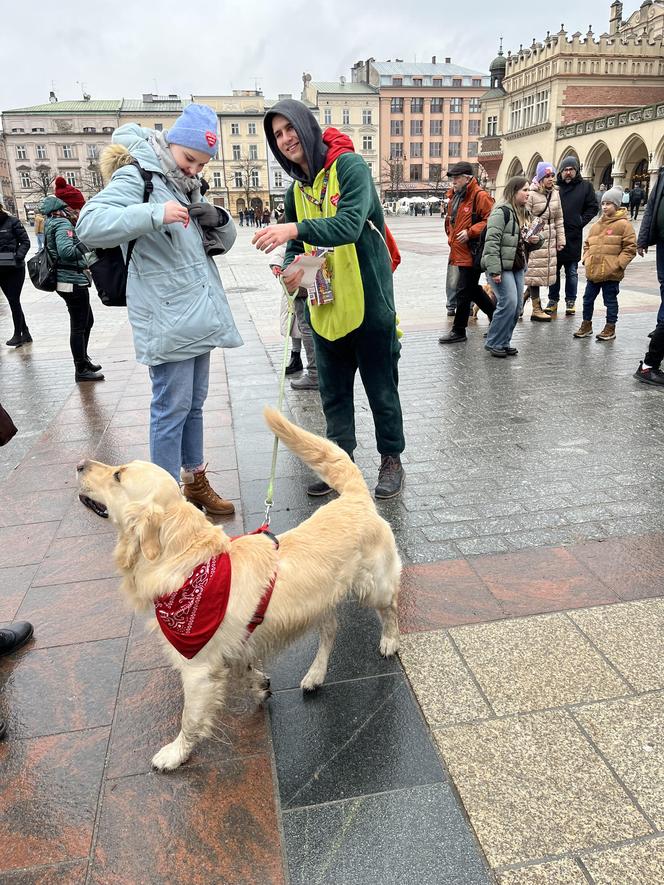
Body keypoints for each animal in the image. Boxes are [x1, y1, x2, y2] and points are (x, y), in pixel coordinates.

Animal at [76, 406, 400, 768]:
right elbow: (244, 669)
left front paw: (175, 753)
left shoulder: (196, 666)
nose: (80, 464)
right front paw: (260, 685)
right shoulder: (234, 646)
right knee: (330, 631)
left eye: (118, 475)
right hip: (320, 602)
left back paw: (389, 641)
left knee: (390, 609)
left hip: (375, 585)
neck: (191, 562)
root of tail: (355, 497)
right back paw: (315, 675)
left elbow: (190, 718)